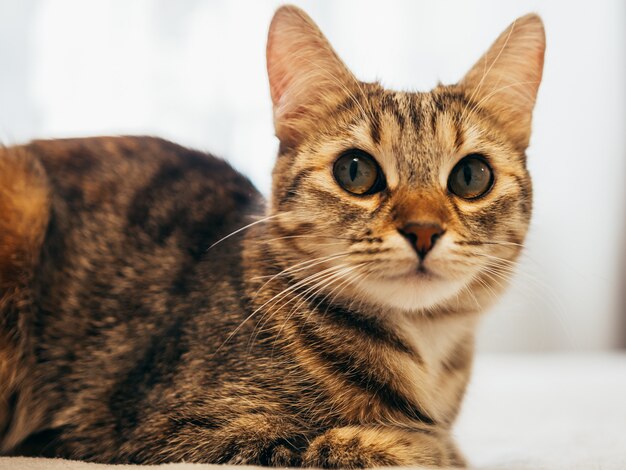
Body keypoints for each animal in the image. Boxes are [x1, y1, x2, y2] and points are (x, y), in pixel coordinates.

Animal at [0, 5, 544, 468]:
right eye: (355, 171)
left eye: (471, 176)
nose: (424, 230)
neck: (426, 352)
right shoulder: (160, 433)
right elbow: (357, 447)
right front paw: (416, 446)